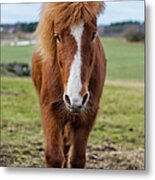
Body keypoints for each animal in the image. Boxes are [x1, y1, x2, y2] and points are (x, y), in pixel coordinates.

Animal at [31, 1, 106, 168]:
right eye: (57, 36)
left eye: (93, 34)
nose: (75, 98)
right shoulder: (50, 111)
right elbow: (54, 157)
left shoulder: (87, 116)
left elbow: (77, 159)